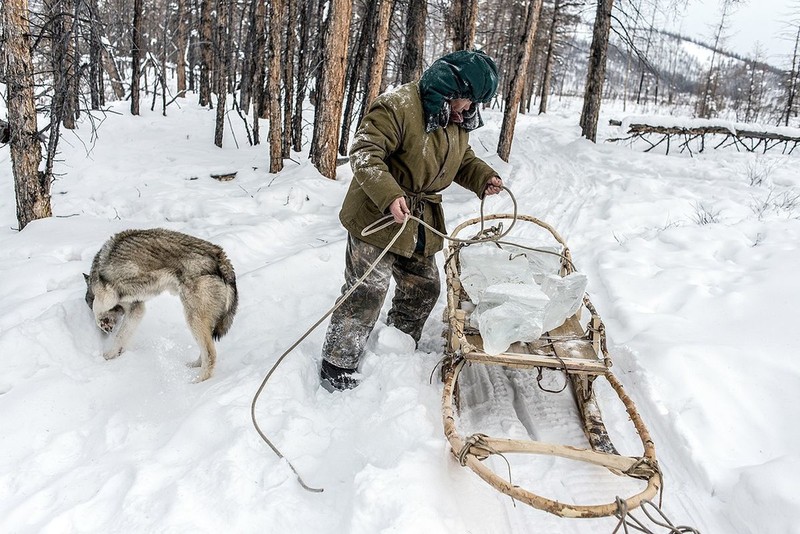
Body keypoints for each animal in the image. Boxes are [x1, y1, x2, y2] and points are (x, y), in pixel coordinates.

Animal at [86, 228, 241, 384]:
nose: (107, 328)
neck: (96, 269)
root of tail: (222, 258)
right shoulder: (137, 309)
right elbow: (121, 335)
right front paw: (113, 354)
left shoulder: (107, 295)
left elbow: (96, 307)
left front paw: (103, 324)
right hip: (201, 322)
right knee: (206, 350)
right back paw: (194, 365)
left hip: (193, 319)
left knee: (210, 354)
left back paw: (197, 381)